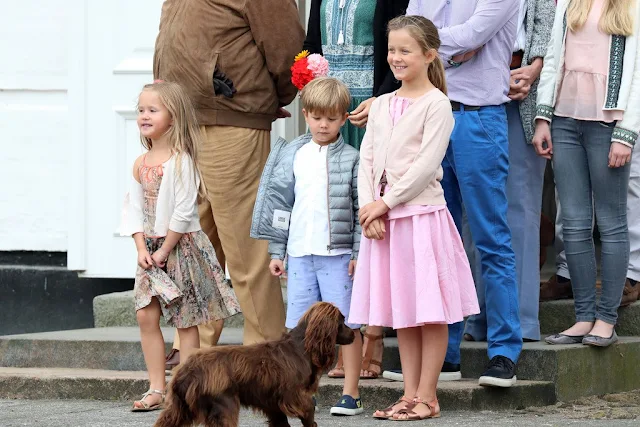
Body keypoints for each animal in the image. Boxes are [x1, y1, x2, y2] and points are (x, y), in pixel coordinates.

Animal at [155, 302, 356, 427]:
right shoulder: (296, 396)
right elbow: (309, 414)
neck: (301, 347)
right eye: (342, 320)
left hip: (177, 409)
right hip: (224, 405)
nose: (354, 333)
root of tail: (187, 372)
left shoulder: (272, 403)